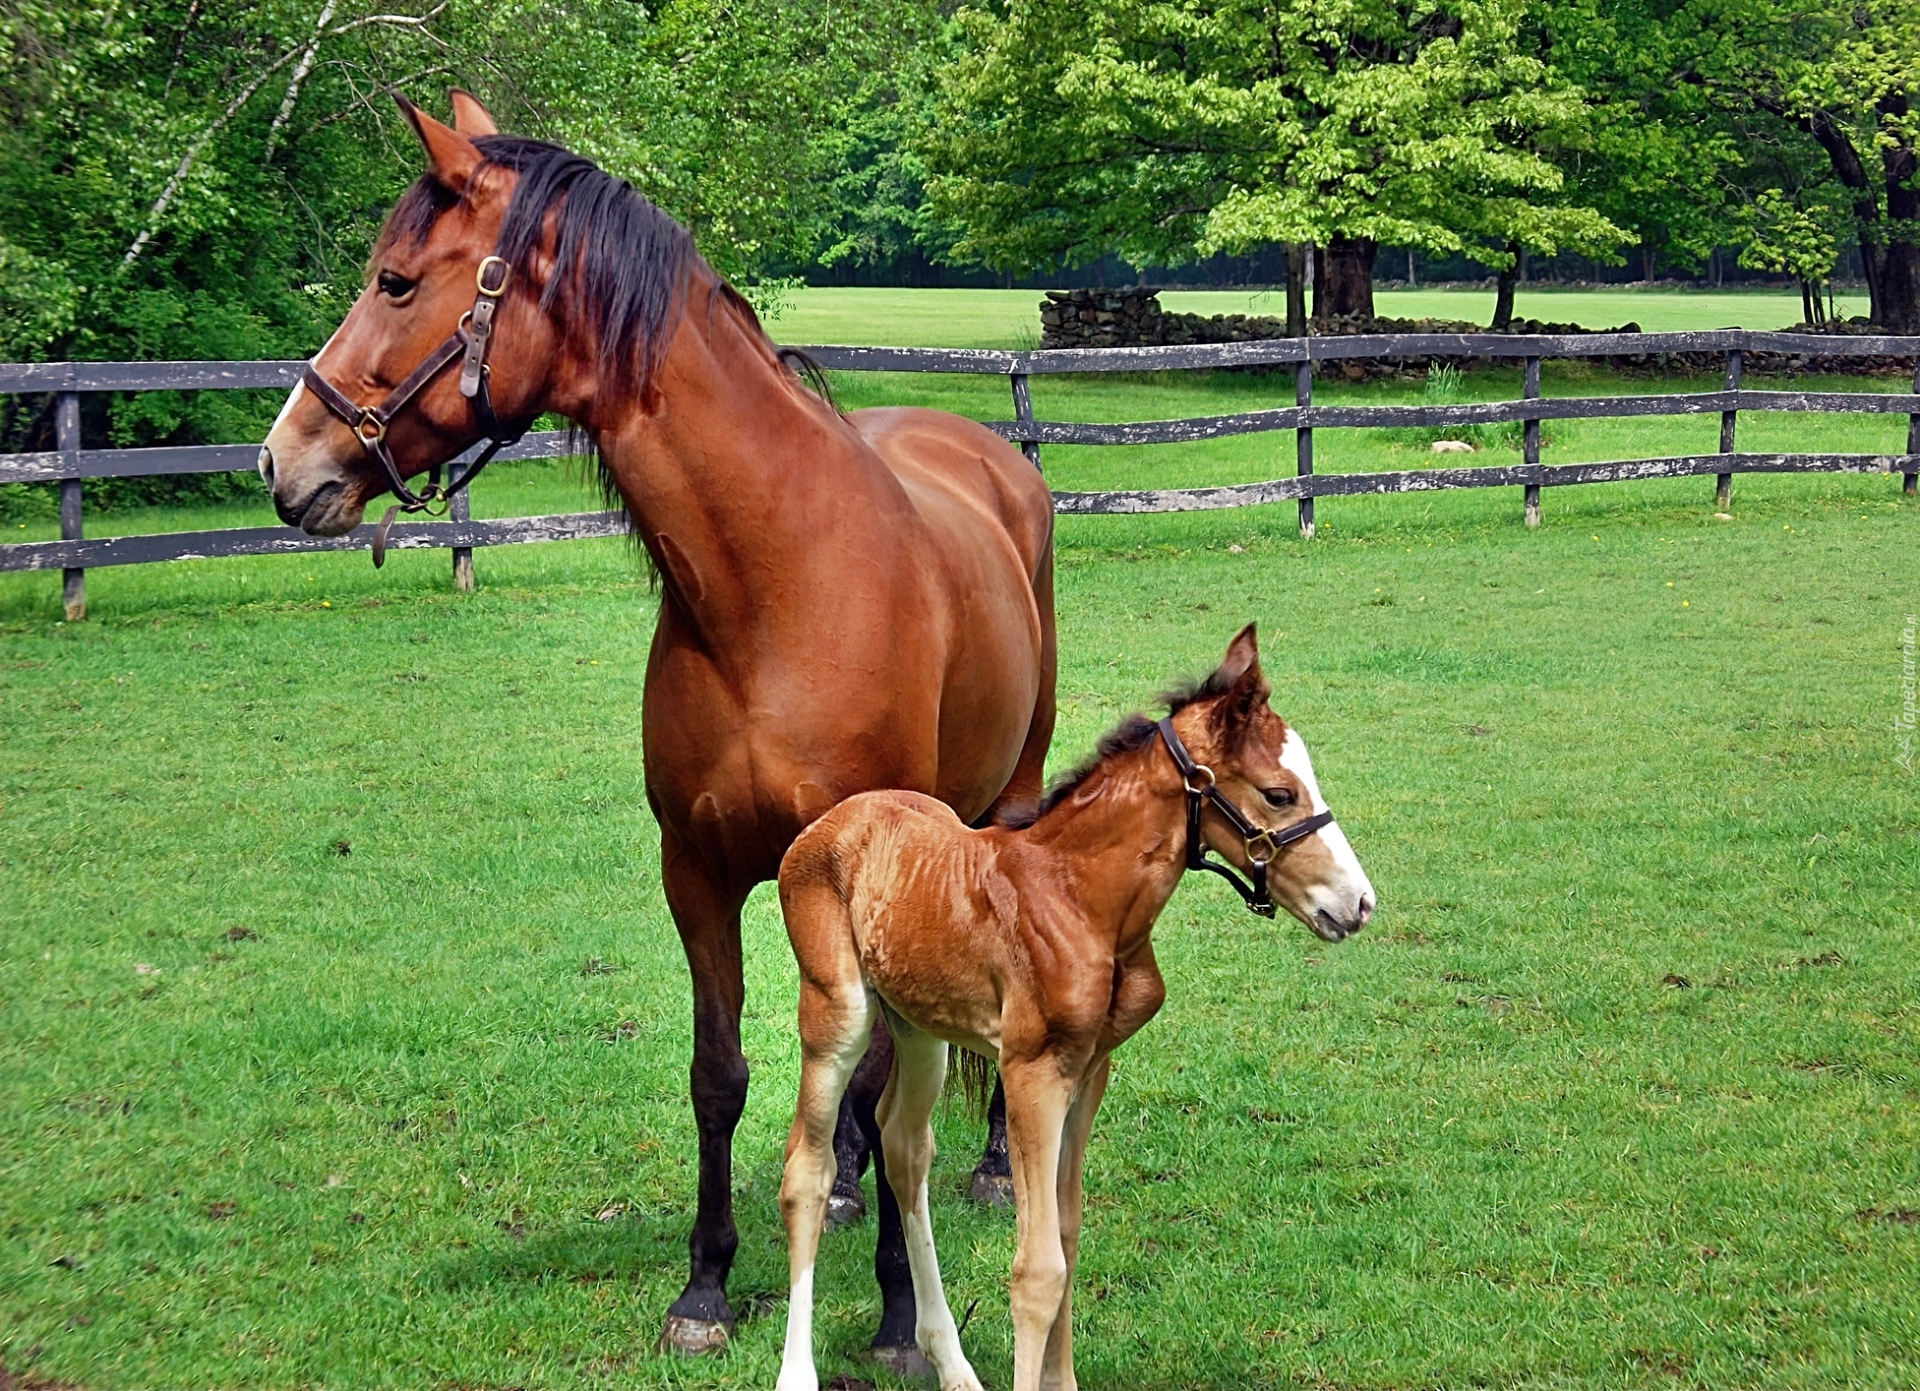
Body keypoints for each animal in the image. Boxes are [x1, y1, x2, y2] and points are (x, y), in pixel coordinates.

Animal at [771, 626, 1374, 1391]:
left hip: (919, 1028)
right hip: (838, 1012)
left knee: (905, 1148)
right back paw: (799, 1372)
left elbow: (1066, 1230)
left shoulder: (1090, 1069)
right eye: (1278, 792)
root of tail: (829, 821)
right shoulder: (1033, 1069)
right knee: (807, 1170)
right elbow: (1038, 1268)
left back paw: (952, 1363)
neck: (1080, 897)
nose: (1358, 902)